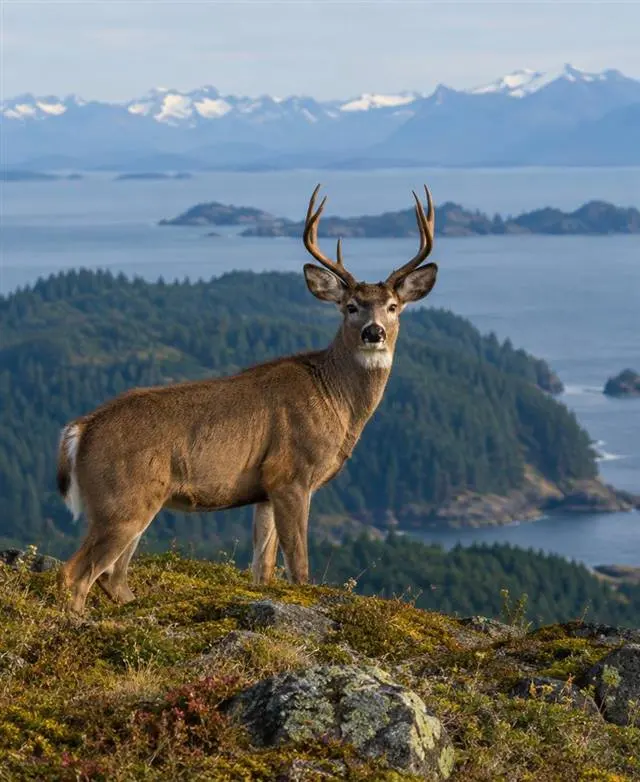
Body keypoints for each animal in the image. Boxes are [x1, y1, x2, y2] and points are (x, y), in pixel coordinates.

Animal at [56, 185, 437, 614]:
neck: (336, 402)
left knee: (112, 576)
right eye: (351, 306)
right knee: (76, 573)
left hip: (134, 503)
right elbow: (299, 568)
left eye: (393, 307)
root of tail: (79, 431)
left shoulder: (265, 489)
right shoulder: (292, 474)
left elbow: (263, 570)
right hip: (120, 501)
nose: (374, 333)